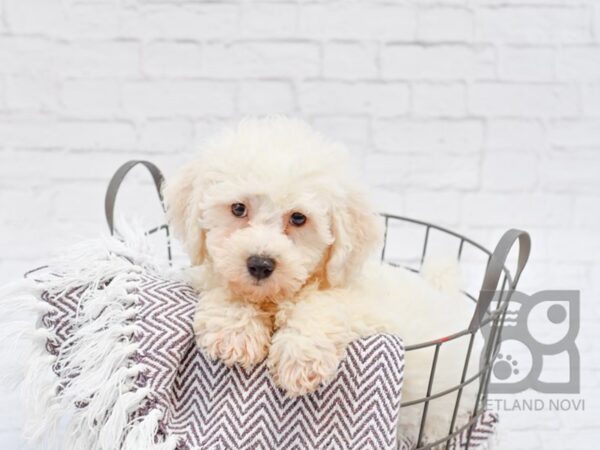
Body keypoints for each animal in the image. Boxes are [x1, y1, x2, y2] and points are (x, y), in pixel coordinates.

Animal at [163, 118, 478, 444]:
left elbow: (321, 303)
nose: (260, 264)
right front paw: (235, 330)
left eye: (298, 218)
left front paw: (300, 359)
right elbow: (223, 283)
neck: (275, 298)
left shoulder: (362, 307)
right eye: (238, 208)